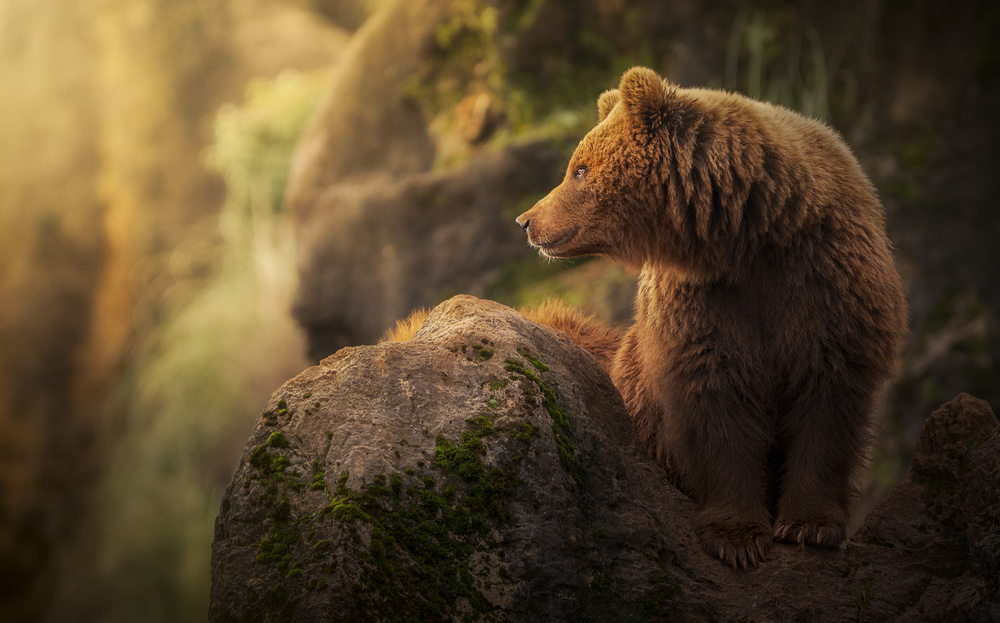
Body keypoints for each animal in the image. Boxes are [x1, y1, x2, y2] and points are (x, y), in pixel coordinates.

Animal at [512, 67, 912, 572]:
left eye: (579, 169)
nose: (526, 220)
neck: (750, 235)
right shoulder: (703, 304)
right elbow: (715, 401)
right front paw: (736, 538)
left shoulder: (826, 282)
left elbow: (828, 402)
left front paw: (809, 526)